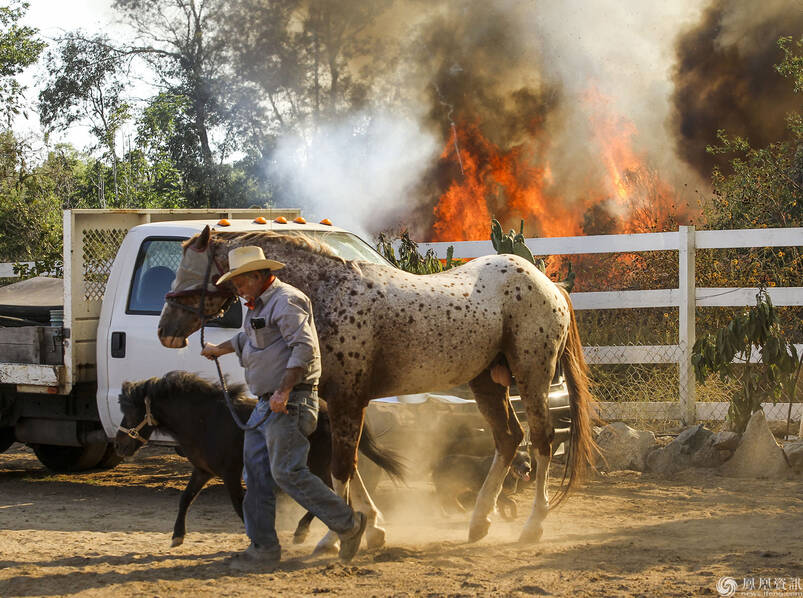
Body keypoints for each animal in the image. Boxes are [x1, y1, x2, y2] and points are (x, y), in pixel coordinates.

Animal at [114, 372, 402, 552]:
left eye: (131, 412)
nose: (119, 445)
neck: (205, 421)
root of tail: (330, 414)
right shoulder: (203, 470)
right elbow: (185, 499)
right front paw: (177, 537)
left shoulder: (230, 473)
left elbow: (238, 505)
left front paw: (258, 541)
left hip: (318, 466)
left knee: (332, 495)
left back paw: (307, 532)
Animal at [159, 227, 596, 548]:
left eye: (189, 274)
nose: (166, 331)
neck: (326, 295)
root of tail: (550, 285)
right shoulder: (338, 404)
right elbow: (348, 468)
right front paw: (369, 528)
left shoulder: (349, 401)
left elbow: (342, 468)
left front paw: (339, 538)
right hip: (488, 382)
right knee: (508, 439)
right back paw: (478, 523)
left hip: (532, 377)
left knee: (542, 441)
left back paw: (532, 526)